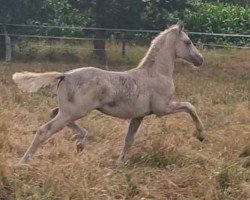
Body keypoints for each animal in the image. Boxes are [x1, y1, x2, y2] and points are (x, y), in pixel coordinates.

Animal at [12, 21, 205, 166]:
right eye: (188, 42)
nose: (200, 60)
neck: (156, 73)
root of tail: (65, 75)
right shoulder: (162, 109)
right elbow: (190, 106)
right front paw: (201, 135)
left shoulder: (139, 115)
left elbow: (129, 139)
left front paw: (119, 164)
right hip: (74, 111)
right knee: (44, 130)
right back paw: (23, 163)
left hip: (70, 111)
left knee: (53, 112)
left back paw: (80, 141)